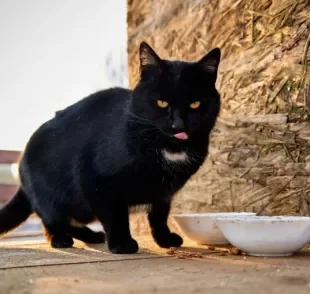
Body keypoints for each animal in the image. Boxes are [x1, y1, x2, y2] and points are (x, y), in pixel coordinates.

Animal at [0, 41, 220, 253]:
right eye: (162, 102)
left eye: (195, 104)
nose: (178, 125)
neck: (168, 147)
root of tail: (21, 160)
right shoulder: (97, 182)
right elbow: (115, 216)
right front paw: (122, 244)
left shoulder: (163, 193)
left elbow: (158, 215)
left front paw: (164, 239)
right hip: (53, 197)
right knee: (51, 218)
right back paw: (59, 238)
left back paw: (92, 236)